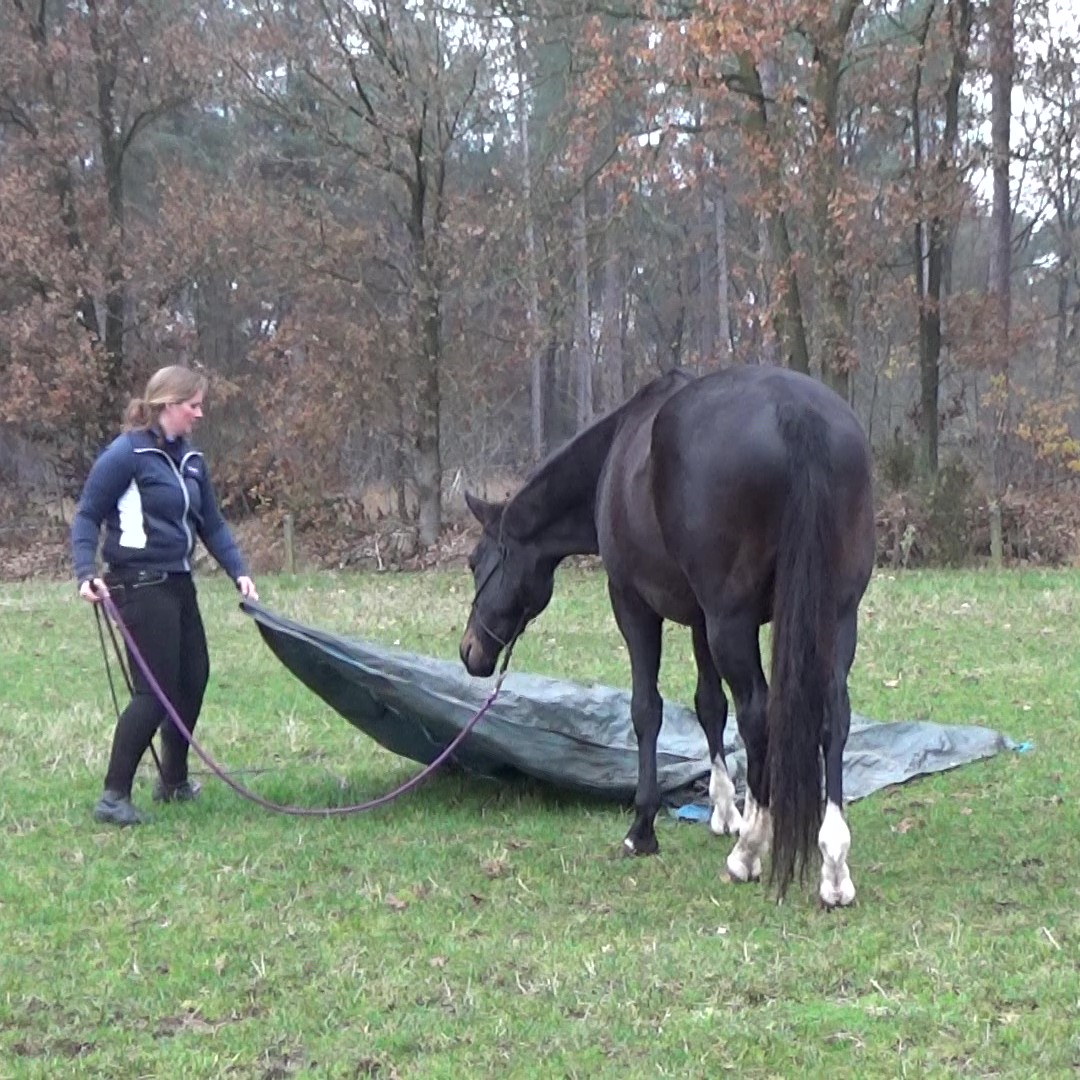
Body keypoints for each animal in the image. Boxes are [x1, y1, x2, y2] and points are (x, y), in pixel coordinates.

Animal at [457, 362, 876, 902]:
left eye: (475, 562)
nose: (470, 651)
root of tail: (796, 414)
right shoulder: (700, 619)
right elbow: (708, 706)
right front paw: (724, 811)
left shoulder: (633, 605)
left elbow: (646, 710)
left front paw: (643, 830)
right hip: (835, 615)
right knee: (833, 715)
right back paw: (833, 866)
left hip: (732, 623)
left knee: (758, 713)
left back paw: (748, 853)